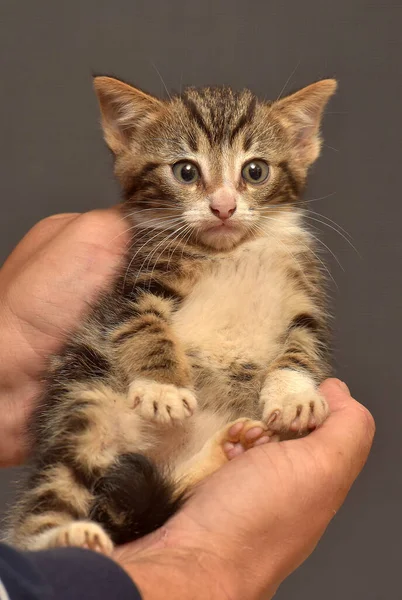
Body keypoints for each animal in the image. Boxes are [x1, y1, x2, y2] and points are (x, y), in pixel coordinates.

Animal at [5, 75, 336, 552]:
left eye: (255, 171)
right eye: (186, 171)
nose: (223, 206)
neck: (230, 253)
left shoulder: (304, 293)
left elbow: (304, 342)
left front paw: (293, 395)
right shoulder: (130, 288)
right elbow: (143, 327)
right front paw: (163, 387)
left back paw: (228, 449)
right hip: (85, 401)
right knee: (55, 483)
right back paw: (63, 537)